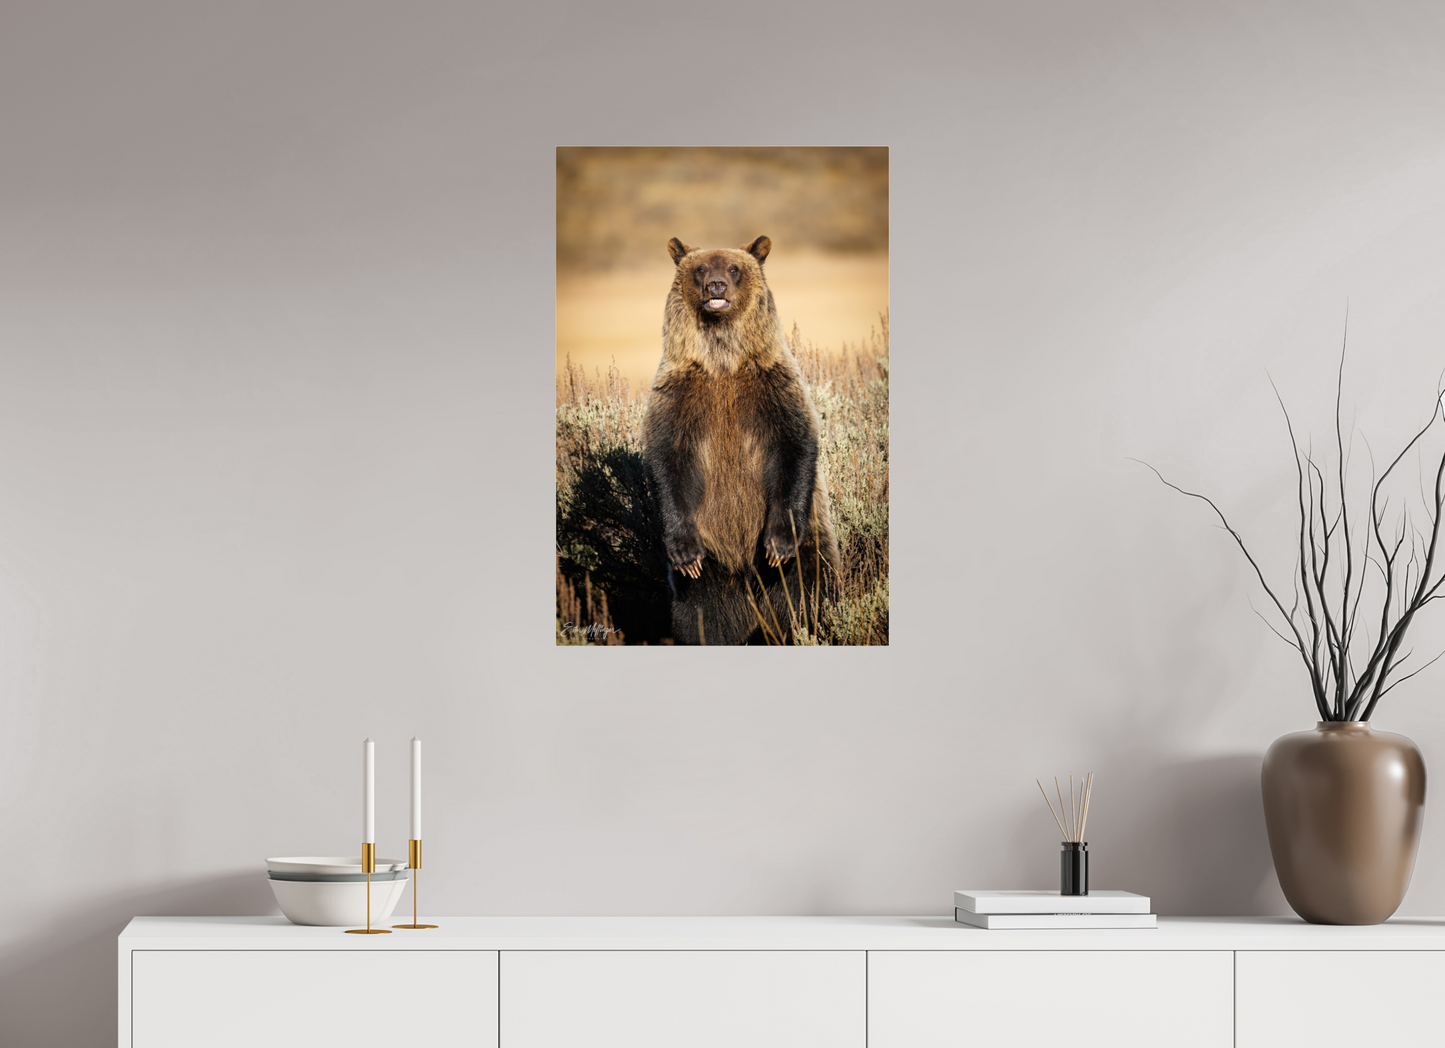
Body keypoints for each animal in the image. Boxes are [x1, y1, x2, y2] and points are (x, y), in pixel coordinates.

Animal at [642, 234, 842, 645]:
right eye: (701, 268)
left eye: (734, 268)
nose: (716, 286)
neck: (723, 359)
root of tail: (746, 584)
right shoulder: (679, 393)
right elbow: (667, 459)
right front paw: (684, 553)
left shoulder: (772, 384)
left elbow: (796, 444)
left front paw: (778, 544)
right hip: (712, 570)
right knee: (700, 615)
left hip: (810, 548)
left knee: (806, 594)